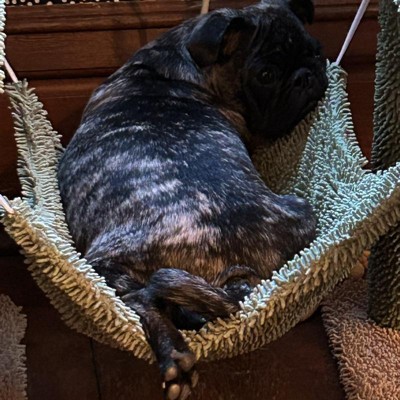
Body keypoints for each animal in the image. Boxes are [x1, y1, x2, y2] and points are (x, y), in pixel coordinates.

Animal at [57, 0, 327, 398]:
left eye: (317, 52)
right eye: (265, 75)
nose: (307, 75)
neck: (168, 71)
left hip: (105, 265)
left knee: (141, 300)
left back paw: (174, 357)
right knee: (148, 300)